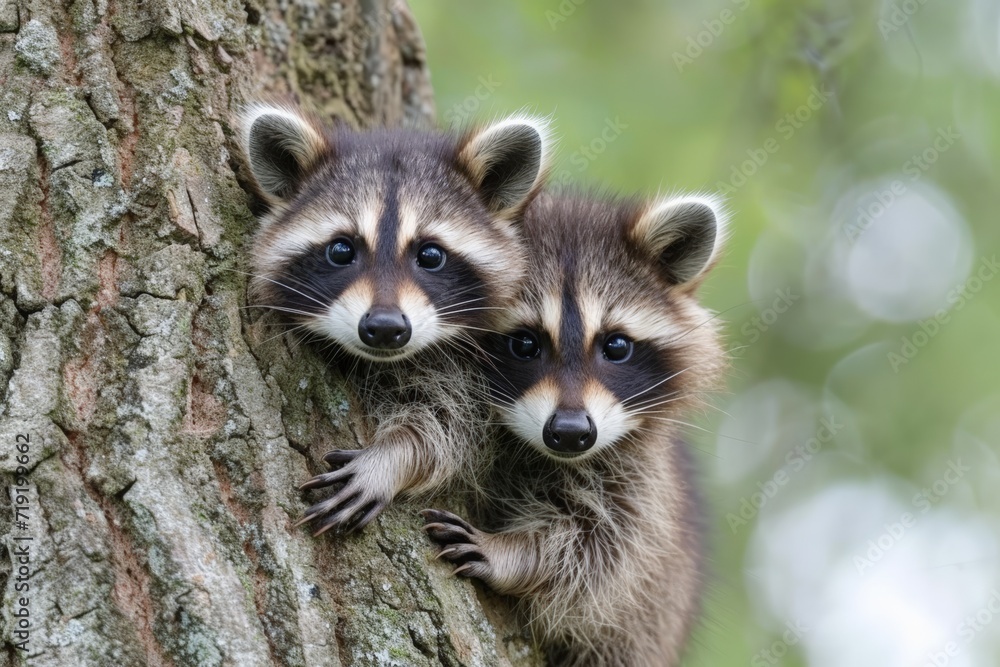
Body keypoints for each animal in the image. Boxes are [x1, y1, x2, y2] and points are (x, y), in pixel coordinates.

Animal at [422, 191, 727, 666]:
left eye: (616, 345)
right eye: (524, 342)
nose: (568, 431)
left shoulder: (639, 480)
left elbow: (603, 549)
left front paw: (515, 556)